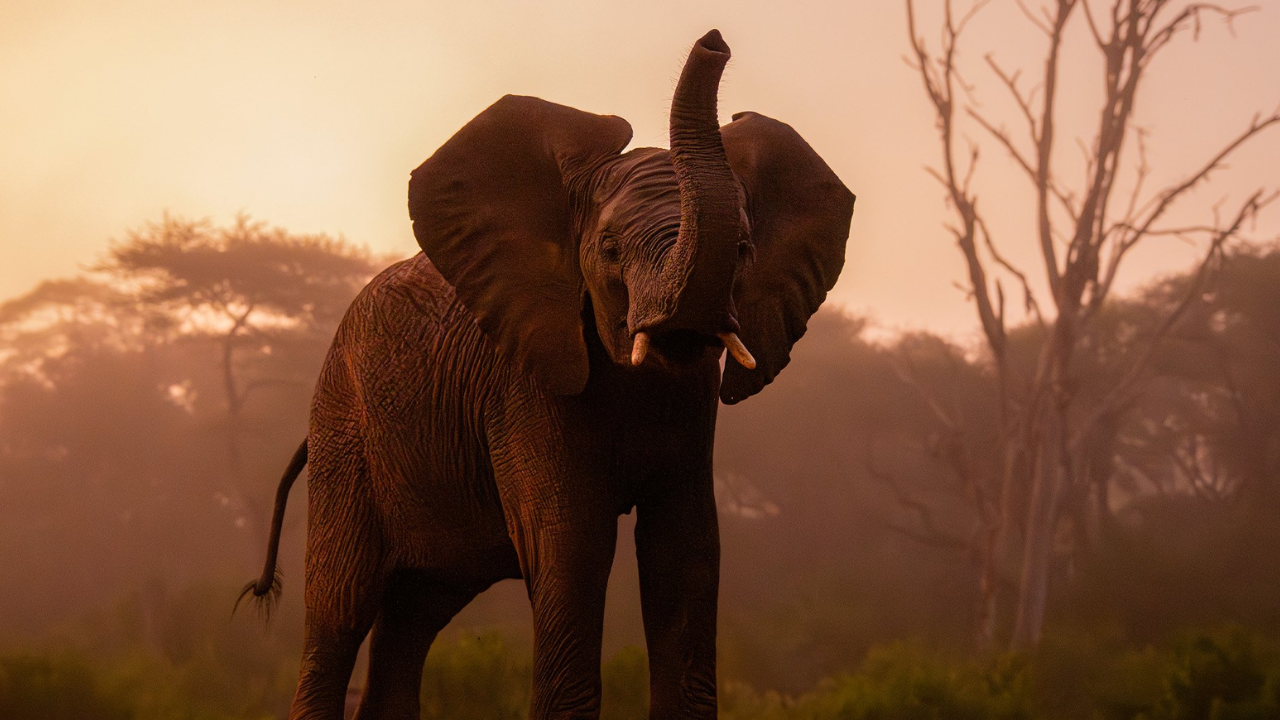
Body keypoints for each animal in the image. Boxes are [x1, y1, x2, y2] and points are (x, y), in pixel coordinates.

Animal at [240, 29, 853, 720]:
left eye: (745, 249)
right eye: (610, 249)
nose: (715, 39)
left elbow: (686, 550)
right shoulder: (522, 387)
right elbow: (572, 545)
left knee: (413, 613)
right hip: (345, 438)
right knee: (339, 607)